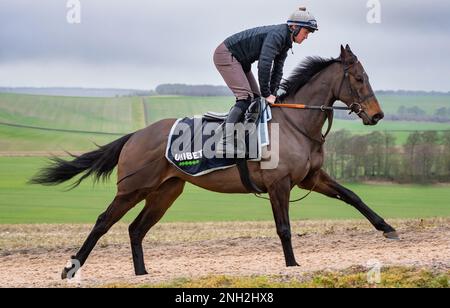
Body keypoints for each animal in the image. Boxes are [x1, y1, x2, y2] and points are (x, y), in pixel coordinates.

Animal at [30, 45, 398, 280]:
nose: (377, 115)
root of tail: (135, 135)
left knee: (136, 228)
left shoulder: (312, 178)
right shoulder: (278, 184)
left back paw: (142, 273)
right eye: (360, 78)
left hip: (165, 191)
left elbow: (353, 196)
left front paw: (388, 228)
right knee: (103, 222)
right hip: (133, 188)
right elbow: (284, 227)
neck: (295, 124)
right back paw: (70, 268)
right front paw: (293, 265)